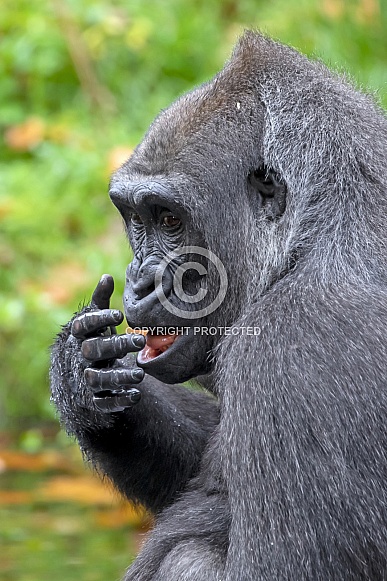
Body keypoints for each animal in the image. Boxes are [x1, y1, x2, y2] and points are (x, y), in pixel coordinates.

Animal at [50, 32, 387, 580]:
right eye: (137, 217)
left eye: (169, 219)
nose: (139, 281)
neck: (317, 232)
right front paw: (83, 376)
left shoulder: (294, 349)